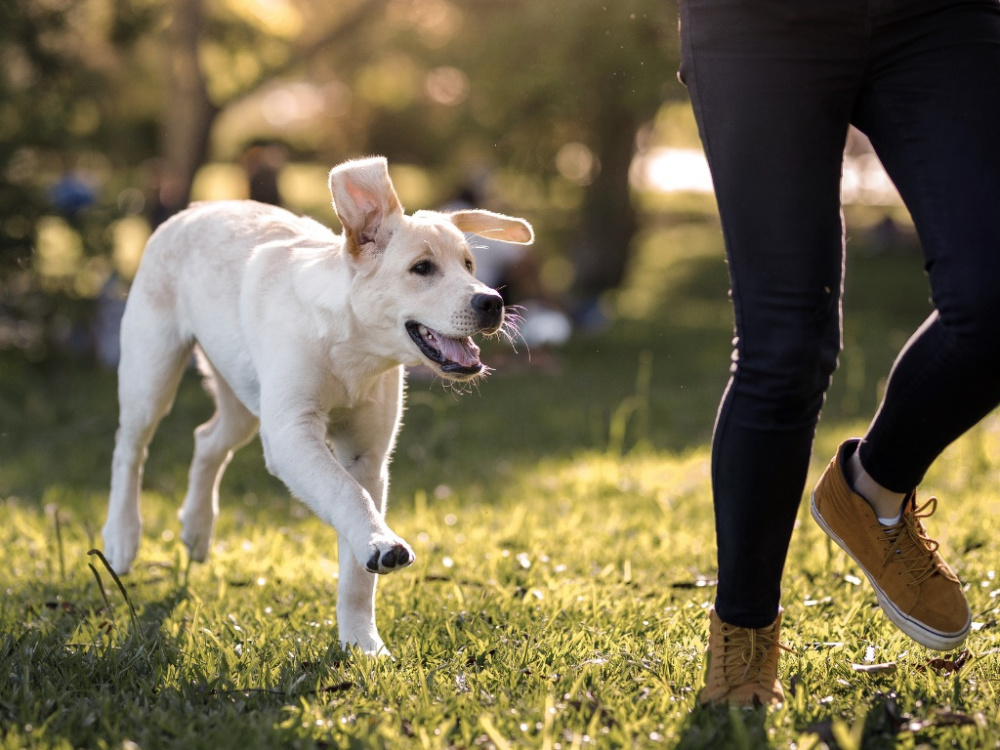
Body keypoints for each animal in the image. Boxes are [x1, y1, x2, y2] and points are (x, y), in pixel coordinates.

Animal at [103, 159, 532, 656]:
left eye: (469, 265)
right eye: (422, 268)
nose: (492, 302)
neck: (353, 348)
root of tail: (194, 207)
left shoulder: (366, 457)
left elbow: (356, 560)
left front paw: (362, 642)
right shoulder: (291, 434)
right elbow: (346, 494)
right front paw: (381, 547)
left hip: (245, 397)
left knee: (207, 439)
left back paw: (195, 528)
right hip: (152, 369)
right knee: (130, 447)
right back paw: (121, 537)